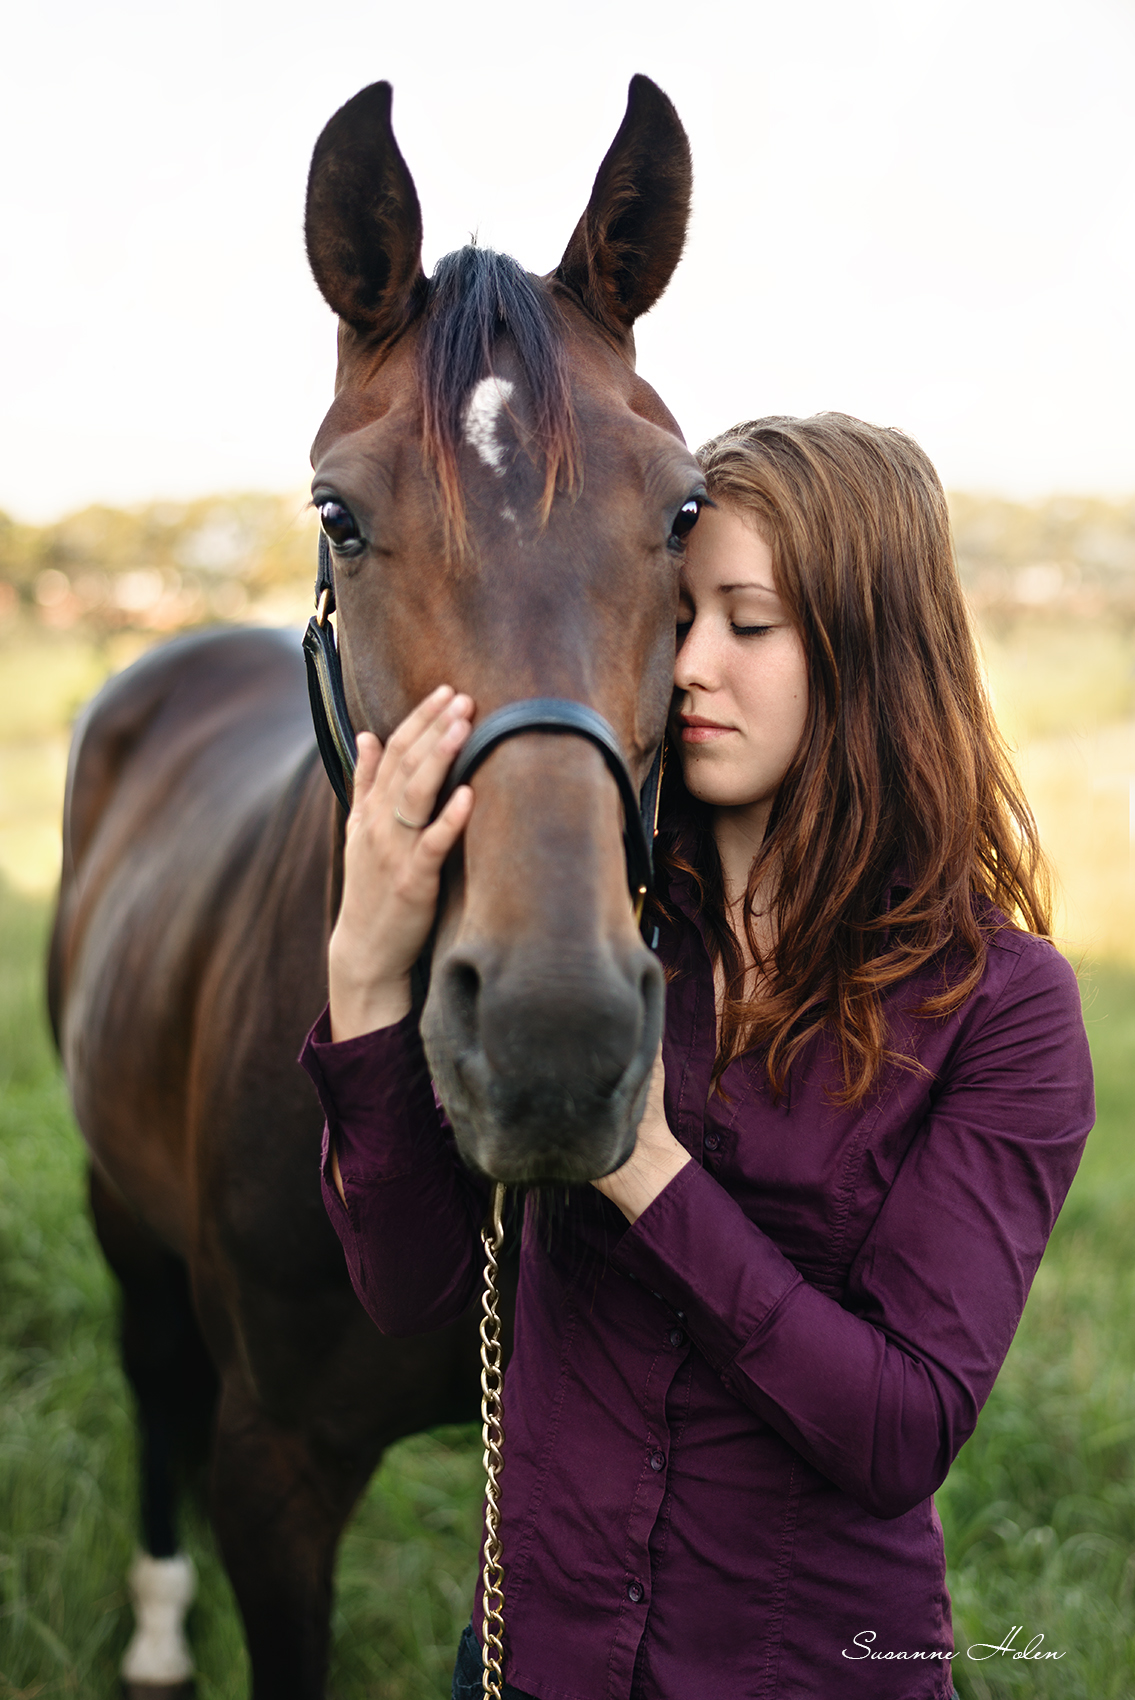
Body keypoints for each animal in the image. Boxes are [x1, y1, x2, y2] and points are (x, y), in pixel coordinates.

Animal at [50, 76, 693, 1700]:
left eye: (683, 512)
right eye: (337, 512)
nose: (550, 1043)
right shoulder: (274, 1471)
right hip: (119, 1207)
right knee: (152, 1367)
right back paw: (158, 1627)